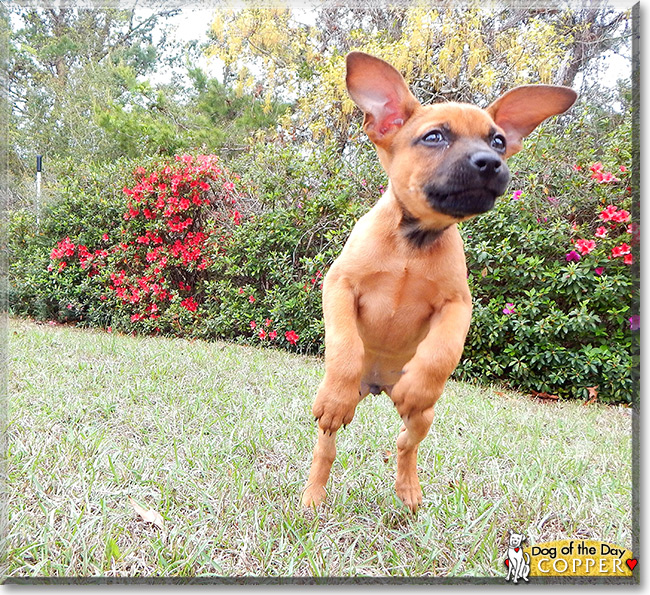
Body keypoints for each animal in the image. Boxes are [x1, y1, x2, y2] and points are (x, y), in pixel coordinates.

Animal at [302, 52, 576, 512]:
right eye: (434, 137)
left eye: (498, 141)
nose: (491, 162)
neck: (413, 243)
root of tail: (377, 386)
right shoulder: (339, 286)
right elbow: (345, 346)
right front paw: (339, 383)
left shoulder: (457, 306)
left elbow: (441, 353)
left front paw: (419, 384)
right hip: (332, 418)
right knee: (327, 446)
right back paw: (313, 494)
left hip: (423, 417)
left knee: (405, 444)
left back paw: (409, 489)